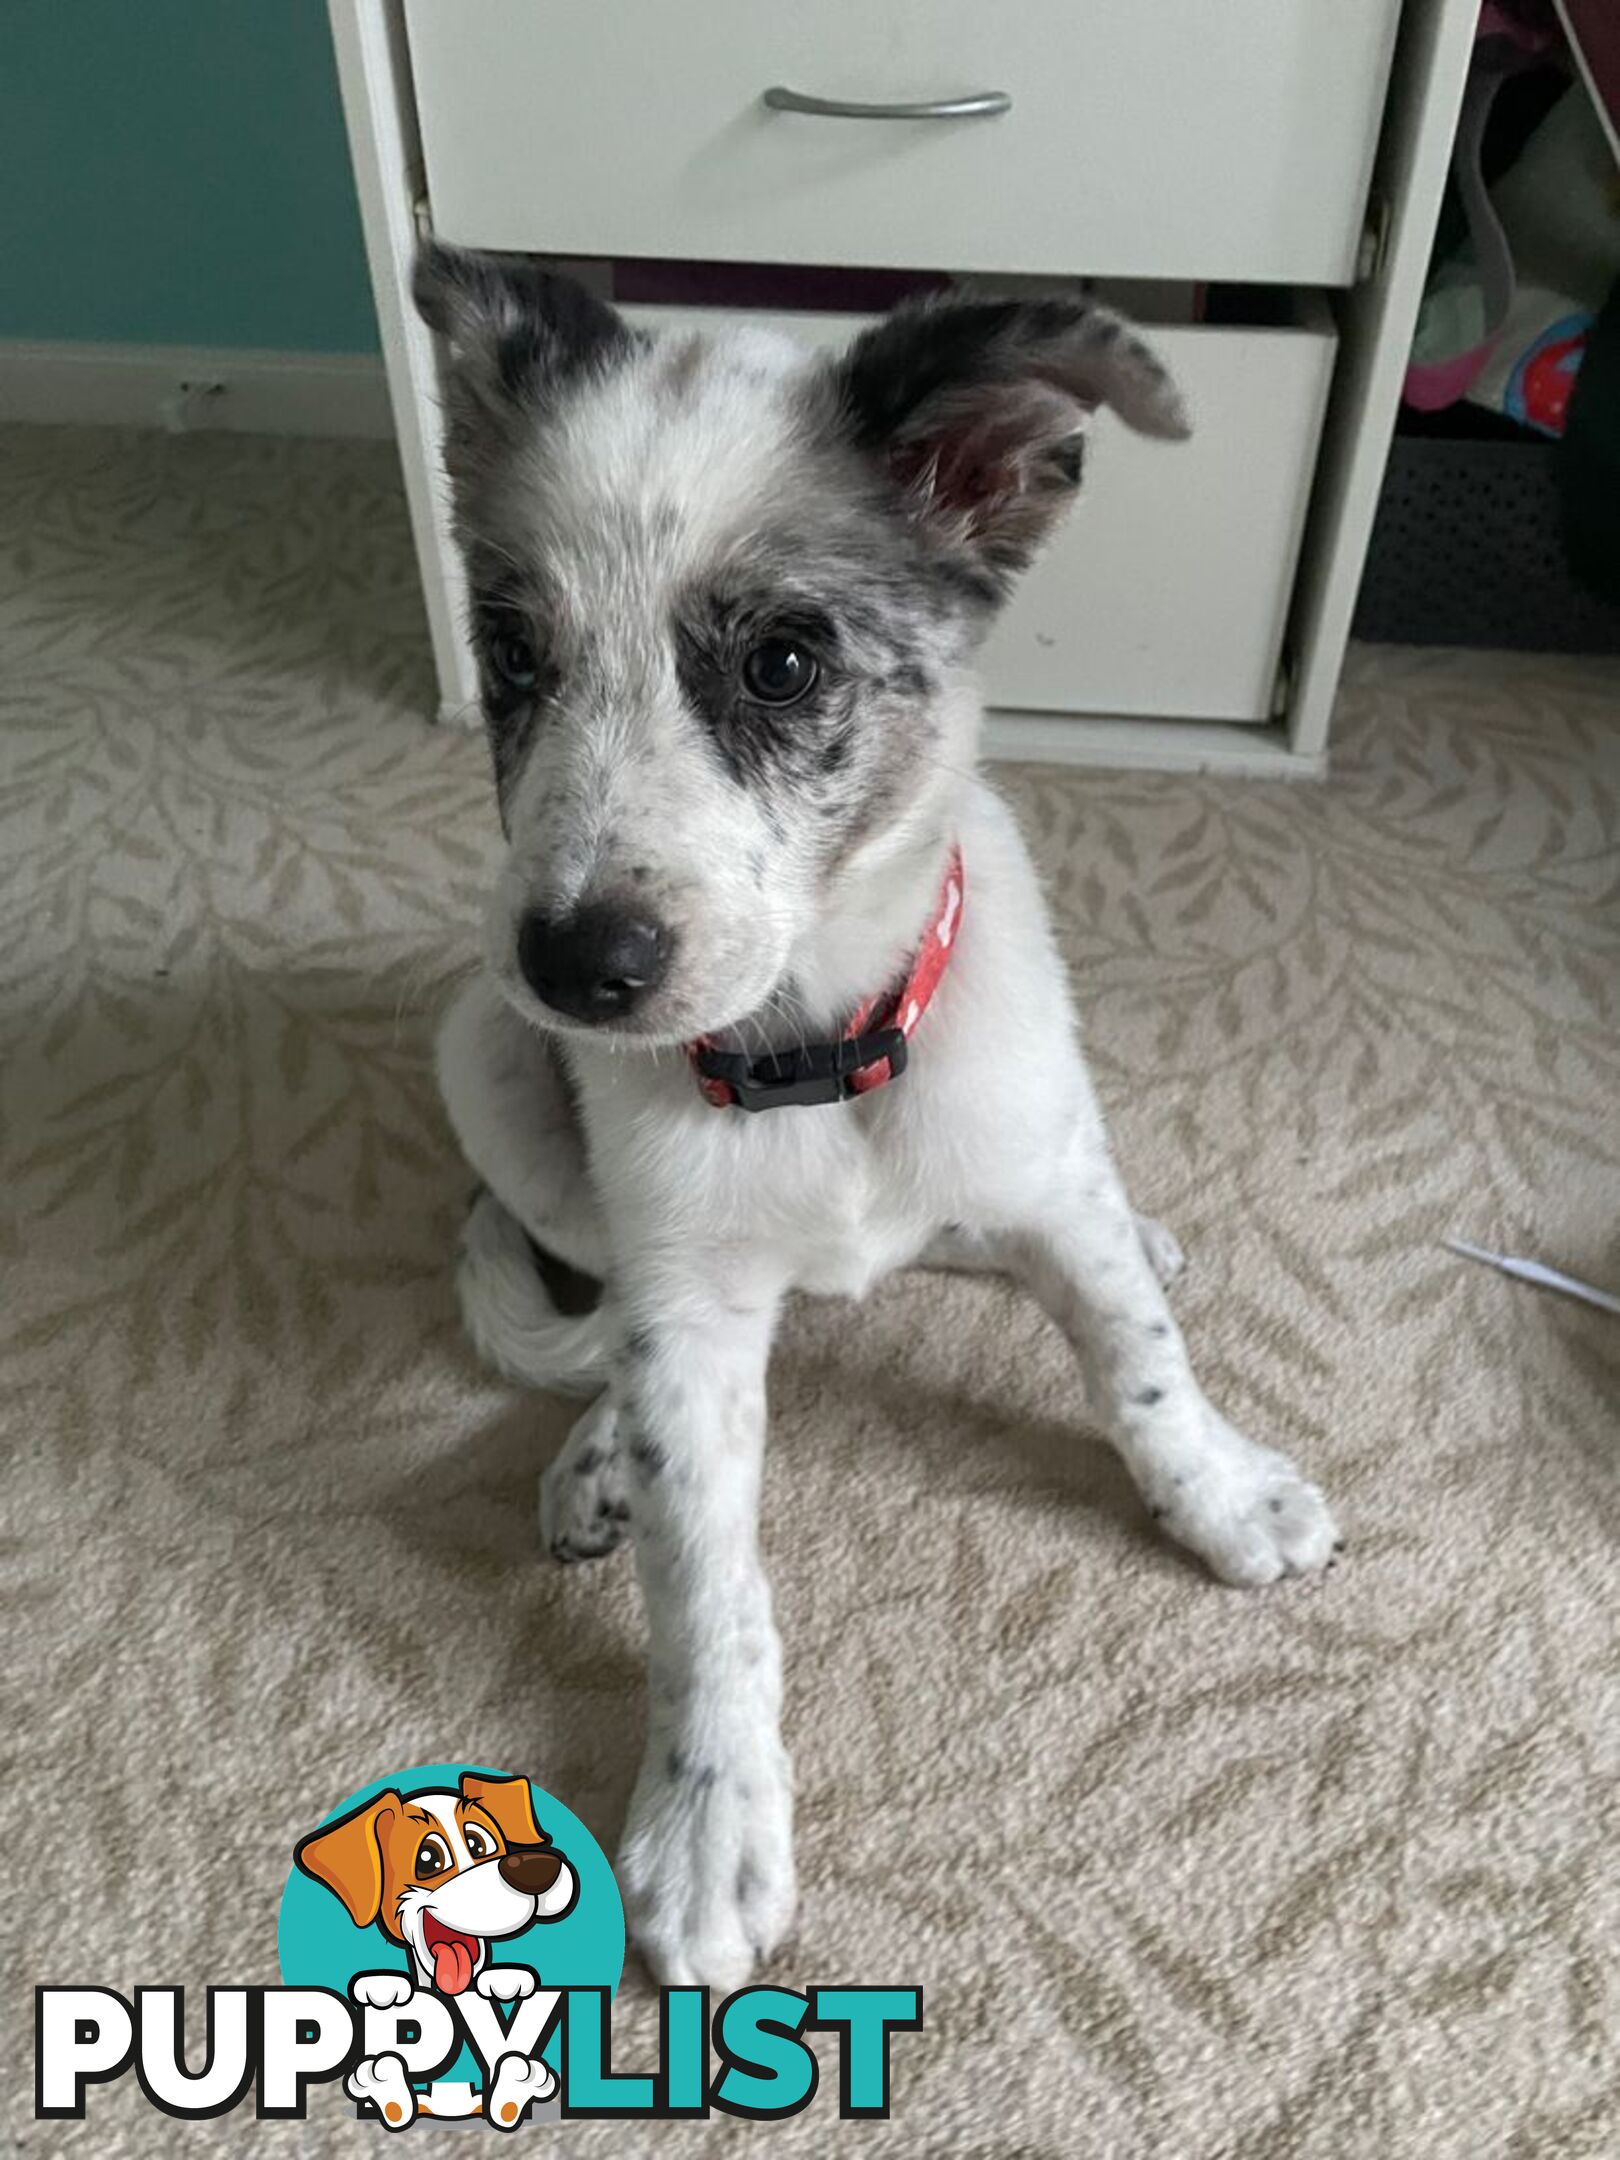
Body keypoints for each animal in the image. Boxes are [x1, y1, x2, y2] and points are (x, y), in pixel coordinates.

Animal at [421, 248, 1347, 1987]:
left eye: (781, 663)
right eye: (511, 656)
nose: (579, 967)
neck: (811, 1056)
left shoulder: (1043, 1164)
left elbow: (1139, 1363)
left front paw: (1218, 1491)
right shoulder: (687, 1300)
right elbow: (704, 1581)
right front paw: (706, 1817)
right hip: (484, 1061)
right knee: (609, 1331)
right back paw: (596, 1455)